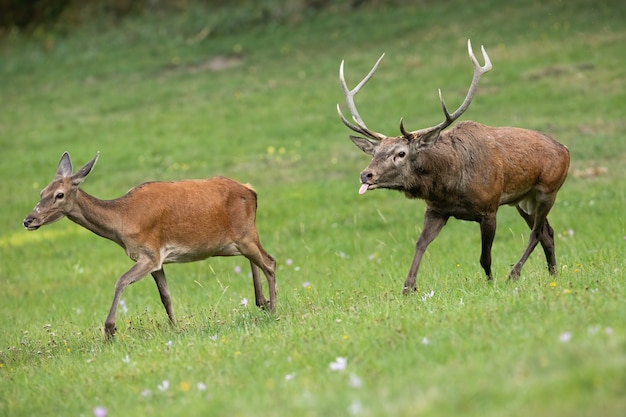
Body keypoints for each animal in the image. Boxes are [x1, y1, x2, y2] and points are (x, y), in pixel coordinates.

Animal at [23, 151, 276, 336]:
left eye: (59, 194)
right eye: (41, 192)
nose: (28, 220)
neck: (123, 221)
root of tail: (251, 190)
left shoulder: (150, 253)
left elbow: (121, 281)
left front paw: (110, 330)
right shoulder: (157, 260)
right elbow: (165, 296)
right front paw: (175, 327)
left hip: (244, 235)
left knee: (270, 262)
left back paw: (273, 308)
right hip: (233, 242)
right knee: (256, 261)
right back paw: (261, 301)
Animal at [338, 39, 568, 292]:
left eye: (401, 153)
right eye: (375, 152)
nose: (366, 175)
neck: (450, 183)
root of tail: (565, 150)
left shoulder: (489, 208)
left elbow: (485, 257)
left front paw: (490, 282)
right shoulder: (436, 209)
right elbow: (420, 244)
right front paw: (408, 287)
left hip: (548, 190)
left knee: (536, 233)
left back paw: (514, 274)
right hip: (524, 201)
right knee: (548, 233)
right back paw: (553, 273)